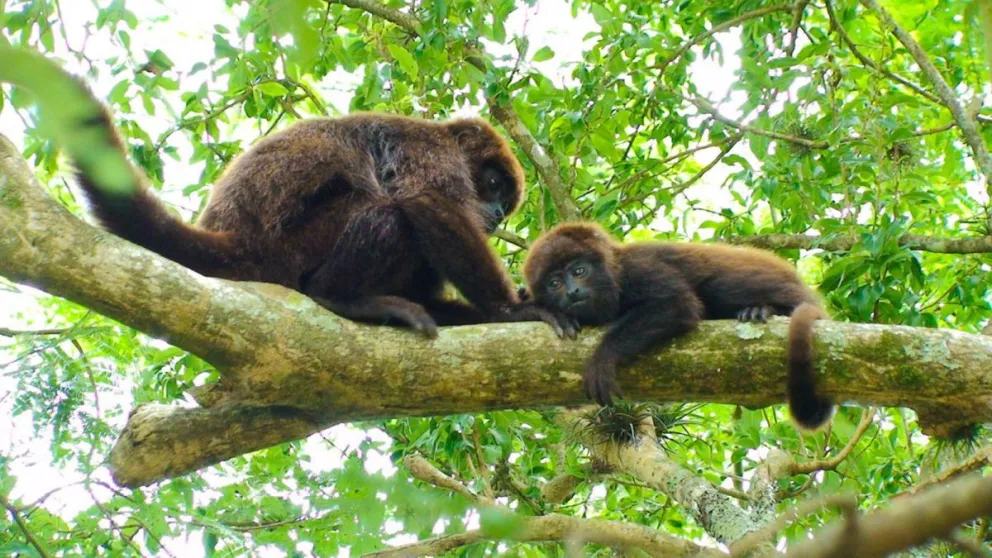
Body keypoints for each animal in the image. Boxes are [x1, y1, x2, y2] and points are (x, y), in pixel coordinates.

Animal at [70, 87, 576, 339]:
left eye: (504, 207)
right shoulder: (428, 149)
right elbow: (426, 204)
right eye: (491, 184)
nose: (493, 211)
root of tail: (236, 242)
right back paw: (341, 297)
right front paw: (512, 310)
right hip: (292, 248)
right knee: (387, 213)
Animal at [522, 222, 833, 430]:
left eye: (579, 270)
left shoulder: (638, 267)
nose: (572, 292)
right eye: (554, 283)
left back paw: (762, 308)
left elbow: (677, 303)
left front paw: (603, 358)